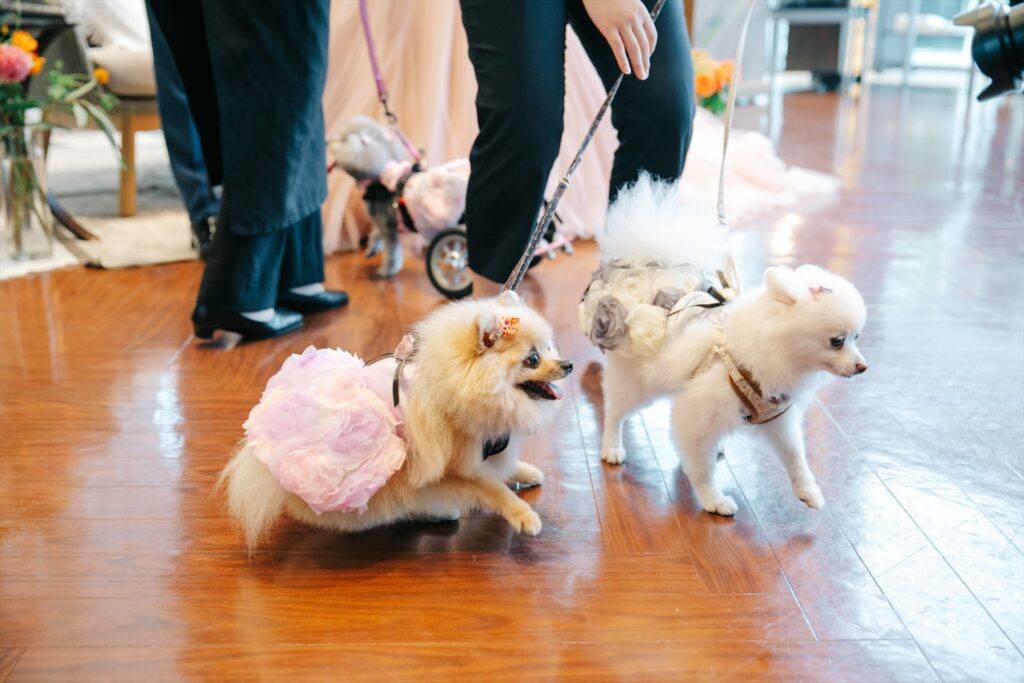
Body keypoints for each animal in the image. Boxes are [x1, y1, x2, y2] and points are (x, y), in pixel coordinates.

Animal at [221, 292, 573, 549]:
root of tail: (262, 462)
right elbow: (492, 489)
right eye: (533, 359)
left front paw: (525, 471)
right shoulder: (450, 469)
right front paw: (523, 516)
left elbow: (502, 467)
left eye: (549, 347)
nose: (567, 364)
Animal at [579, 175, 867, 516]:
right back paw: (612, 446)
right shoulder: (701, 411)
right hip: (637, 383)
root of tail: (645, 266)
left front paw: (808, 490)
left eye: (857, 337)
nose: (862, 367)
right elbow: (701, 467)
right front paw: (712, 499)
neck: (775, 353)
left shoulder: (776, 415)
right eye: (837, 341)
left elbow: (795, 455)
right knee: (615, 411)